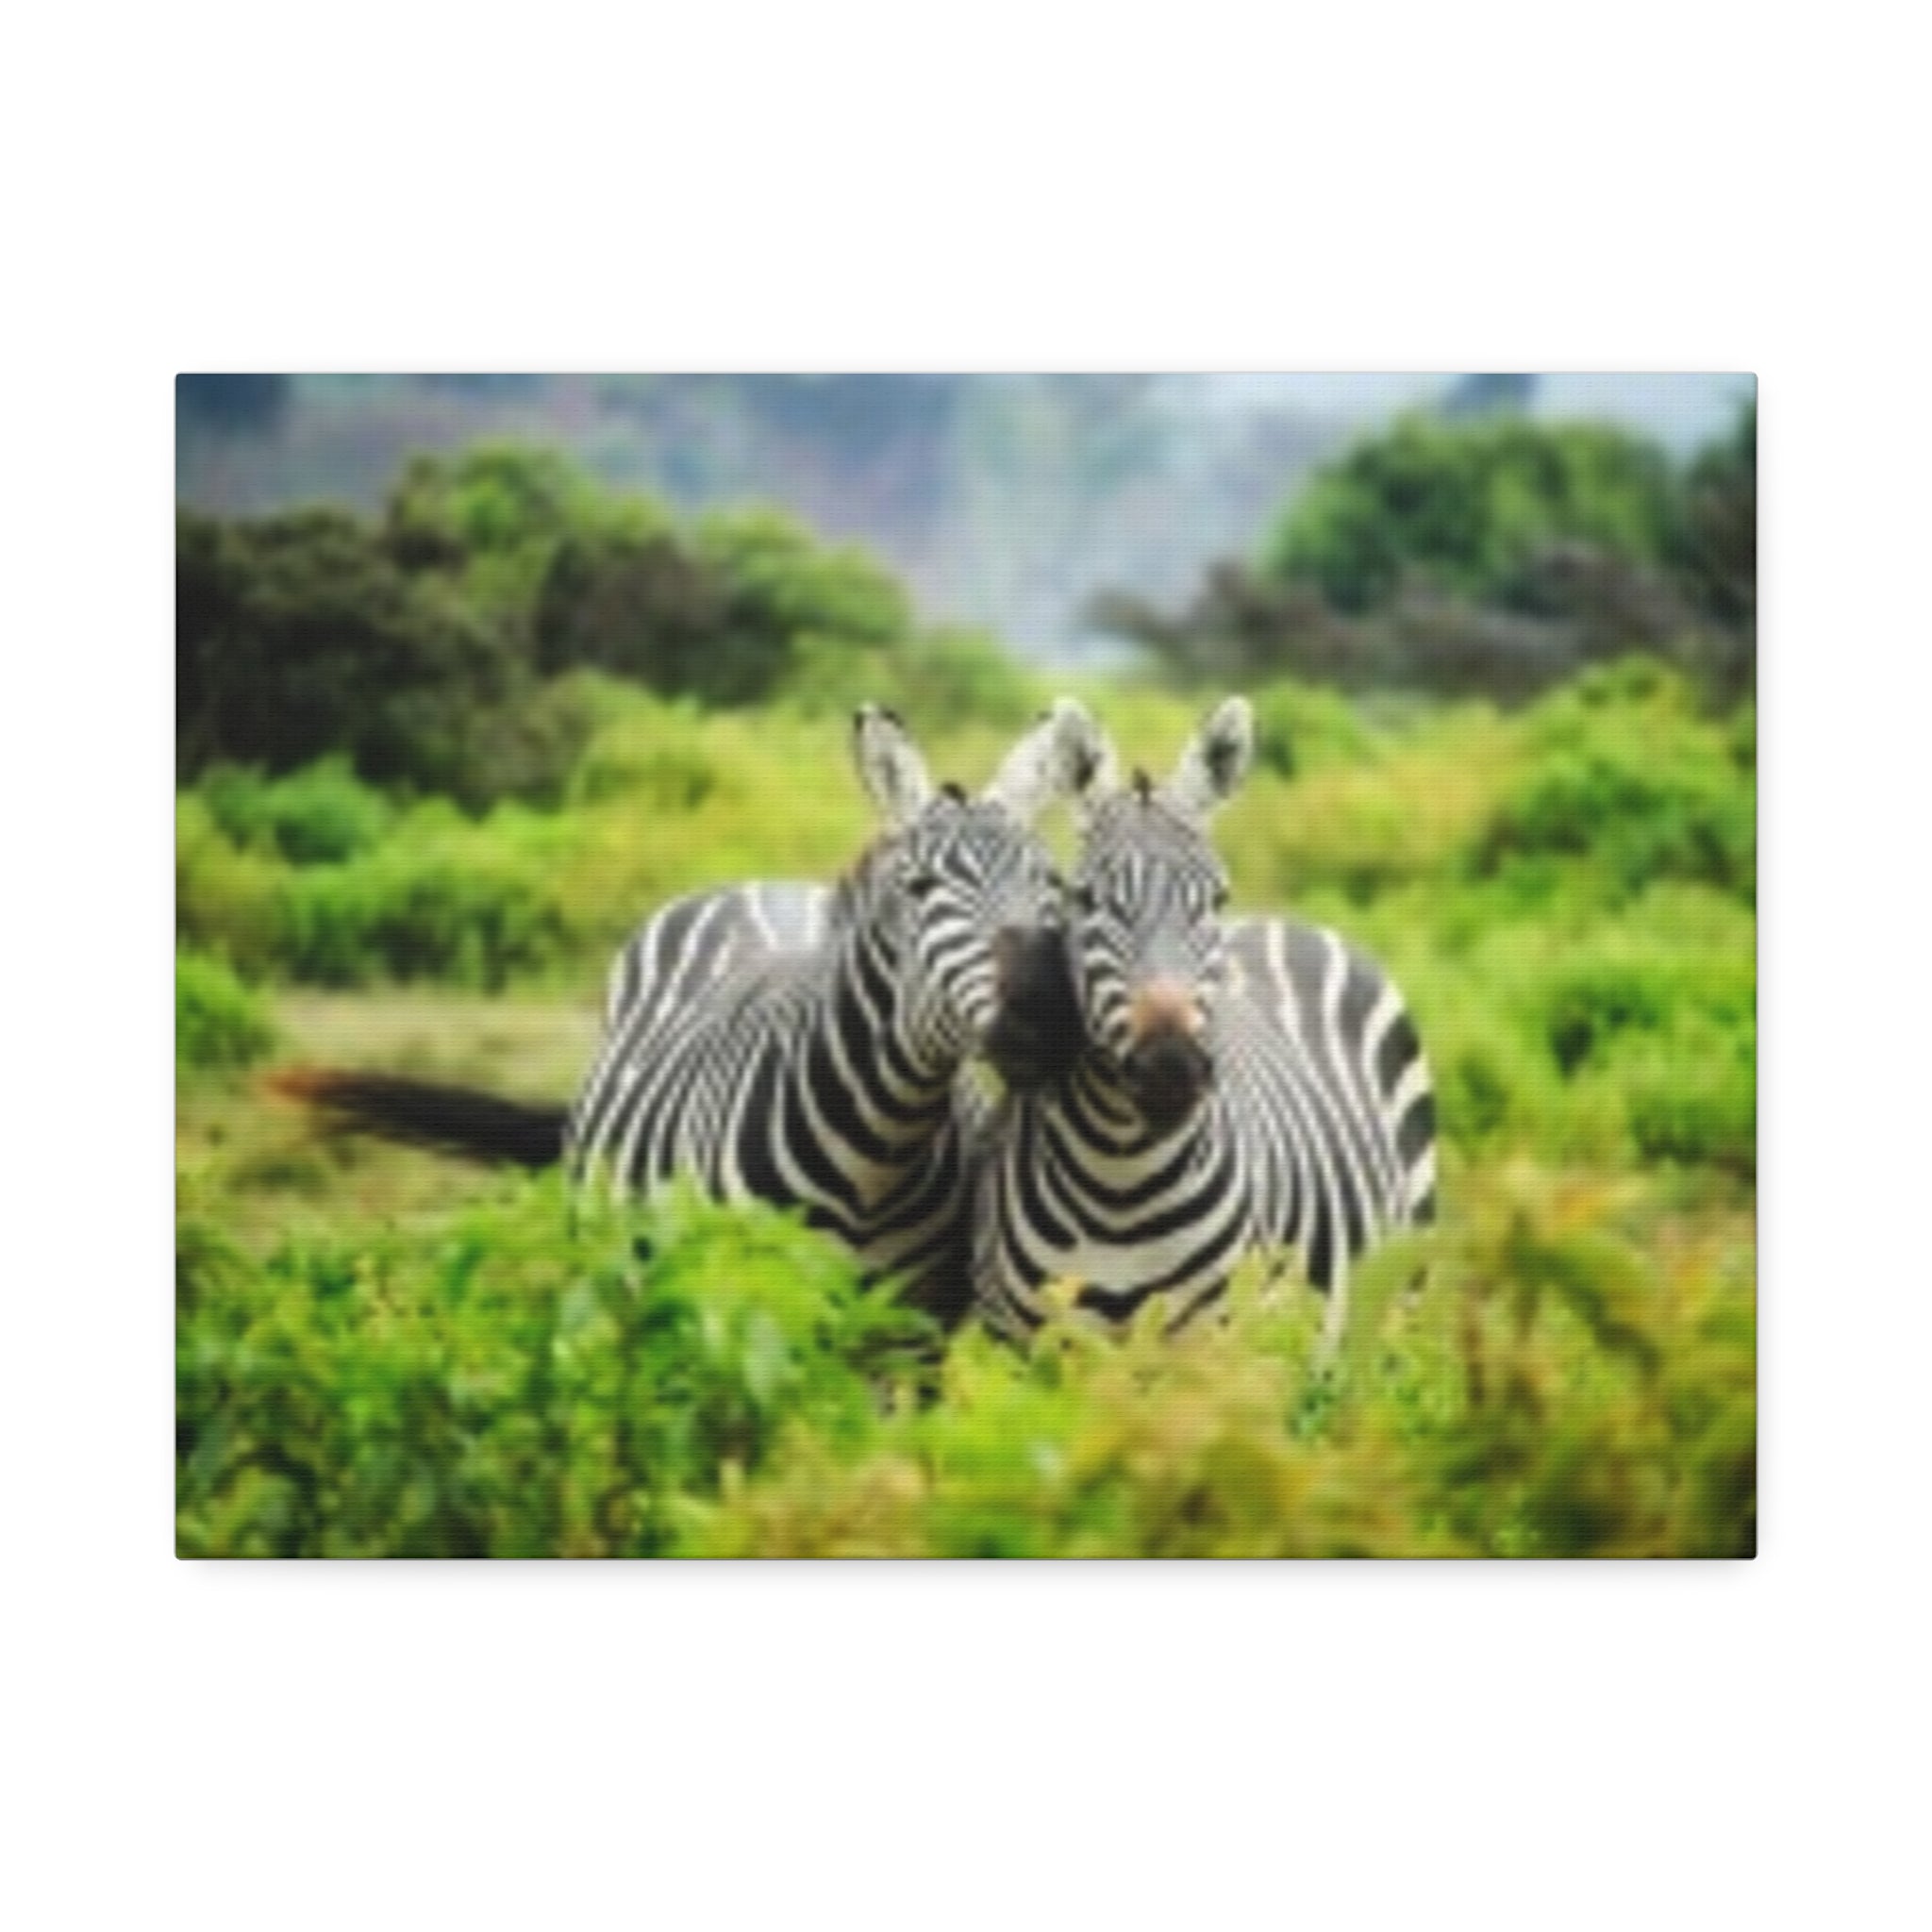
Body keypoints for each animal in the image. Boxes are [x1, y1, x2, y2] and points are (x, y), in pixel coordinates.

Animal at [563, 699, 1102, 1323]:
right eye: (919, 887)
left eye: (1054, 884)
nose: (1047, 1017)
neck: (876, 1156)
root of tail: (764, 883)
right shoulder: (741, 1302)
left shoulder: (921, 1319)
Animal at [971, 696, 1437, 1347]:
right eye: (1085, 899)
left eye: (1216, 899)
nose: (1171, 1068)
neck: (1120, 1181)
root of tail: (1286, 922)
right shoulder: (1019, 1342)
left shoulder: (1213, 1341)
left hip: (1397, 1299)